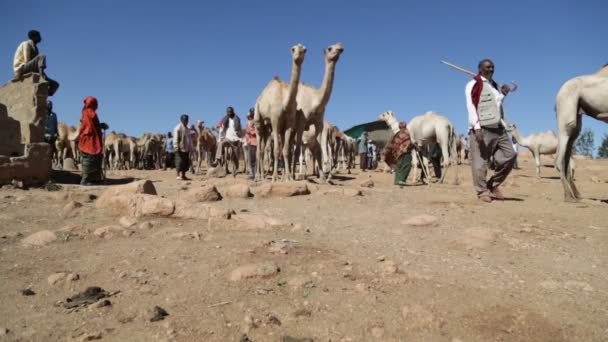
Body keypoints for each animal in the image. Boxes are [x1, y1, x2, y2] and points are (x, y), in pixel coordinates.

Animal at [254, 43, 306, 182]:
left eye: (304, 50)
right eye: (293, 49)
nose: (298, 55)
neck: (285, 102)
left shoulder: (288, 124)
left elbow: (286, 150)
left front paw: (288, 178)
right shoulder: (275, 120)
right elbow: (277, 150)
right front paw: (274, 177)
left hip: (268, 128)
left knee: (263, 149)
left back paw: (262, 176)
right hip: (258, 120)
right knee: (259, 149)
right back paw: (258, 177)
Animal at [292, 42, 344, 182]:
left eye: (339, 46)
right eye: (330, 48)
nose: (340, 47)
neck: (315, 99)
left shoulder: (319, 122)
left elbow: (319, 151)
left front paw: (322, 177)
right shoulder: (302, 122)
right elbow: (299, 151)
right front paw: (295, 175)